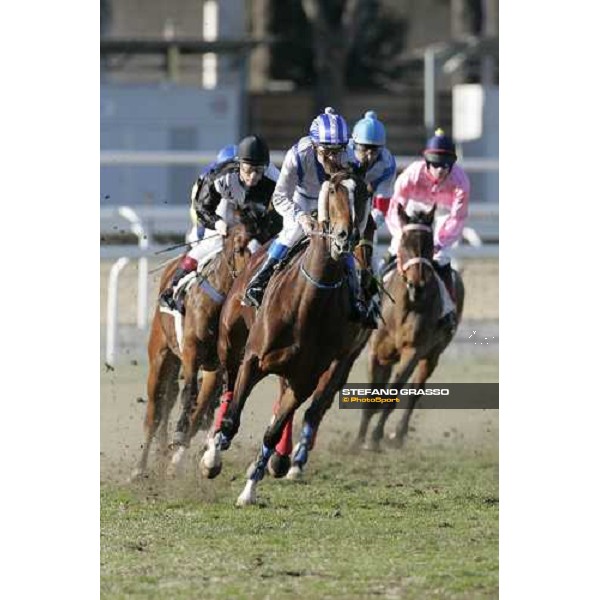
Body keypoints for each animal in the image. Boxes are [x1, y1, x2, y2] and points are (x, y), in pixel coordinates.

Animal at [131, 205, 274, 478]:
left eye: (264, 244)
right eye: (239, 247)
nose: (254, 276)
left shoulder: (216, 367)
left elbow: (200, 409)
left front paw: (182, 456)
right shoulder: (190, 353)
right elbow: (189, 394)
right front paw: (179, 435)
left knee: (168, 403)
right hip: (161, 355)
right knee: (154, 411)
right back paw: (139, 468)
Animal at [199, 171, 370, 504]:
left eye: (365, 193)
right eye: (334, 190)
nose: (345, 237)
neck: (308, 304)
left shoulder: (305, 380)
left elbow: (273, 431)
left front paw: (250, 488)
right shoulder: (253, 360)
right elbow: (232, 419)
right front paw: (213, 455)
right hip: (230, 344)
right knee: (227, 389)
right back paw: (213, 446)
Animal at [354, 203, 466, 450]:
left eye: (429, 244)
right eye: (404, 241)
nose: (418, 285)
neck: (404, 307)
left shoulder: (413, 351)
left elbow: (393, 394)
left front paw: (374, 438)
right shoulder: (376, 351)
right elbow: (372, 394)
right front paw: (358, 440)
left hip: (432, 355)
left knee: (416, 390)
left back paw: (398, 434)